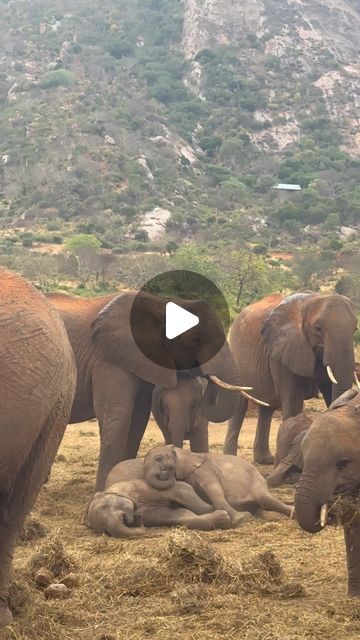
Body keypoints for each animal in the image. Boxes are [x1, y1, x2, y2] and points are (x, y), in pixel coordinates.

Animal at [86, 448, 231, 536]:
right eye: (106, 532)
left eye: (105, 506)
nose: (138, 518)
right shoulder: (151, 514)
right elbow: (181, 515)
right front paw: (223, 517)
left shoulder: (143, 486)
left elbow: (182, 489)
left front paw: (216, 510)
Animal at [225, 292, 358, 464]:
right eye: (318, 328)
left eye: (355, 328)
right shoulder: (281, 352)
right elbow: (293, 402)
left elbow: (330, 392)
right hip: (235, 355)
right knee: (240, 405)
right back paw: (230, 457)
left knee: (267, 408)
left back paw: (266, 460)